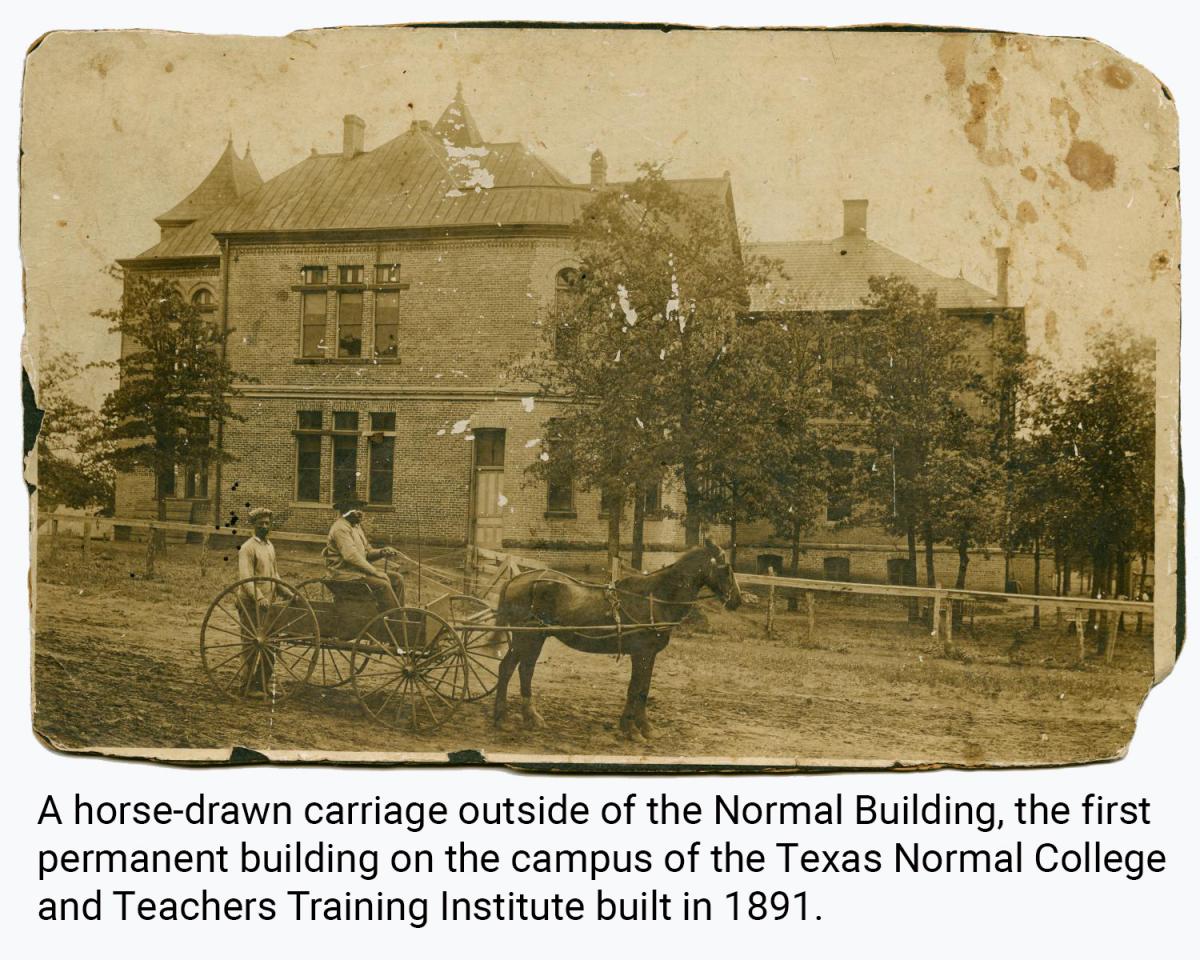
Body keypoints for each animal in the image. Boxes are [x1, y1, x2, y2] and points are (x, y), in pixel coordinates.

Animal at [489, 540, 739, 744]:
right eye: (727, 568)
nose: (737, 599)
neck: (655, 597)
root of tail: (517, 578)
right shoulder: (641, 653)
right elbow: (635, 688)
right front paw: (631, 729)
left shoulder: (650, 654)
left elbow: (644, 689)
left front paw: (645, 727)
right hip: (528, 637)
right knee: (515, 669)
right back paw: (510, 718)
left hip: (531, 638)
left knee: (517, 669)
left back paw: (519, 717)